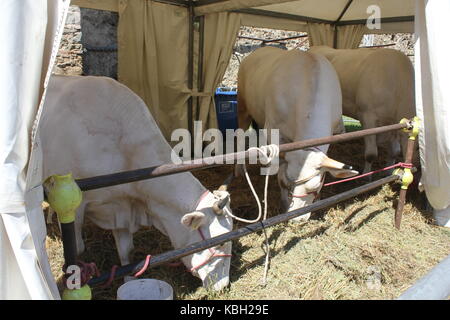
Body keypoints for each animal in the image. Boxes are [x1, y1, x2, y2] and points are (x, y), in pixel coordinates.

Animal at [40, 75, 234, 290]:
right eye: (219, 242)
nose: (223, 285)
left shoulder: (122, 207)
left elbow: (127, 252)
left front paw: (129, 282)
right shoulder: (75, 208)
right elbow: (78, 251)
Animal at [237, 47, 356, 218]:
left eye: (316, 187)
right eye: (286, 184)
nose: (297, 218)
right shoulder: (274, 132)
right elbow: (280, 169)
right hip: (242, 106)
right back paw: (239, 169)